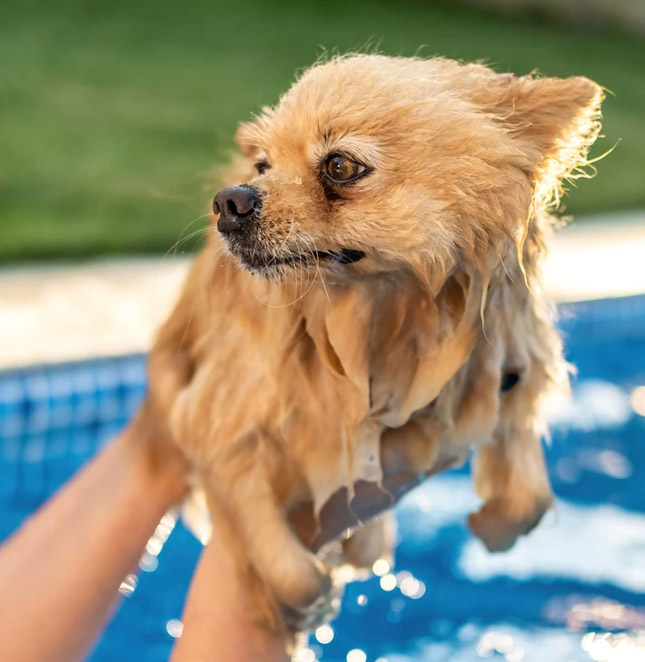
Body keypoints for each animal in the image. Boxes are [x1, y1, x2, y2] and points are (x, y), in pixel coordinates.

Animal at [142, 55, 604, 632]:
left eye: (340, 167)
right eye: (264, 165)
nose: (230, 198)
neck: (384, 314)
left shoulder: (503, 372)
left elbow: (530, 489)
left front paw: (495, 524)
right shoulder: (215, 420)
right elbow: (276, 546)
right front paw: (304, 599)